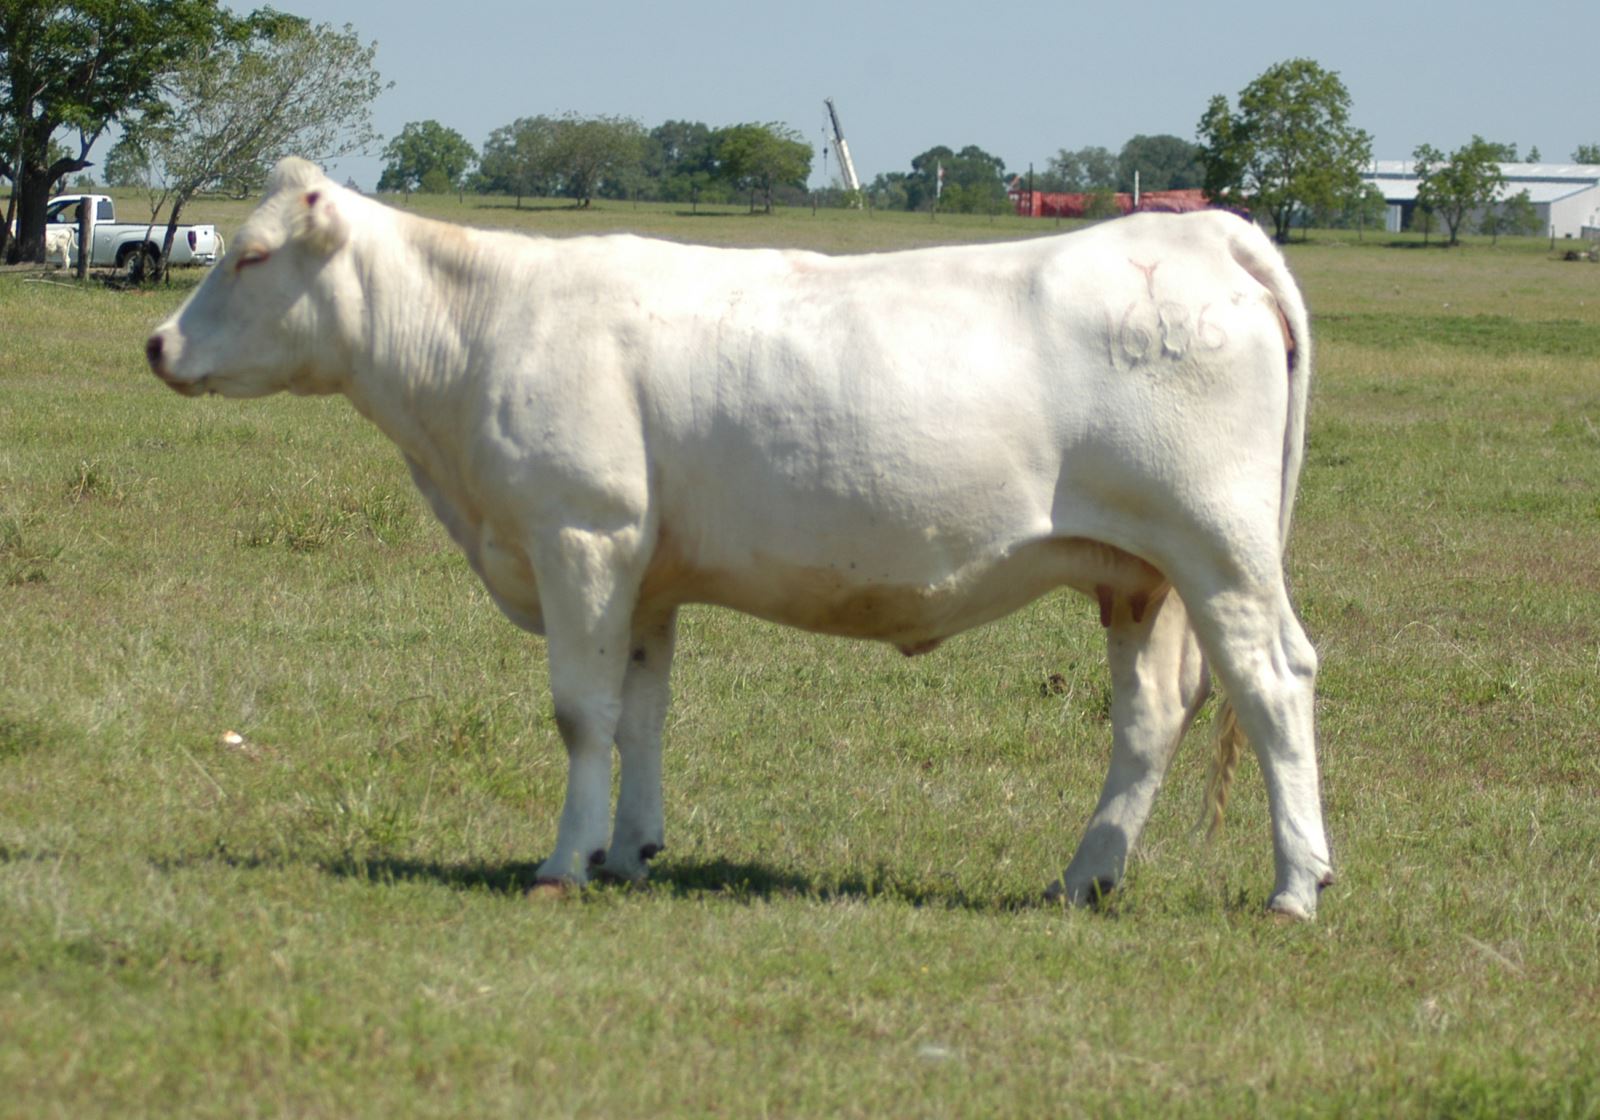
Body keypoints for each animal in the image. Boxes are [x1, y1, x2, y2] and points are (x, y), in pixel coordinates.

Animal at [147, 157, 1337, 921]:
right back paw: (1082, 878)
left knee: (1273, 682)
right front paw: (631, 850)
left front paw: (563, 863)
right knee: (1152, 713)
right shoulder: (643, 574)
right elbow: (641, 712)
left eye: (251, 255)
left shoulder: (581, 534)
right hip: (1141, 574)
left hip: (1221, 550)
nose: (156, 342)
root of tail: (1199, 229)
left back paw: (1294, 886)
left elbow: (581, 714)